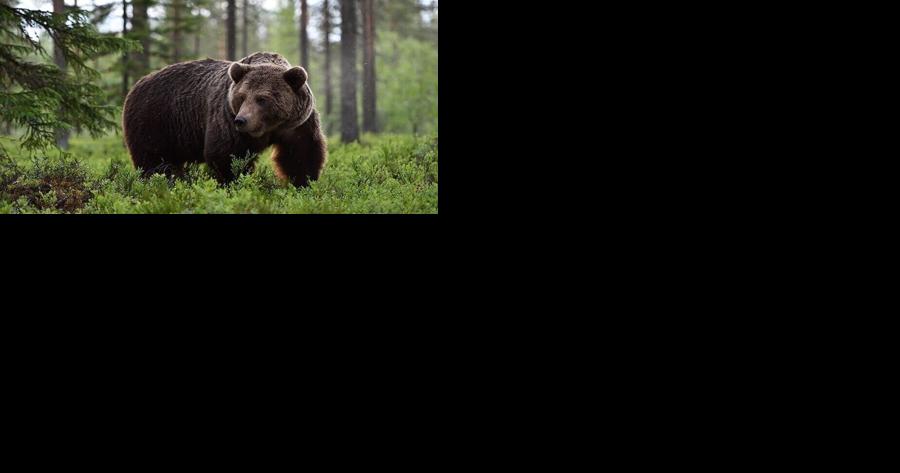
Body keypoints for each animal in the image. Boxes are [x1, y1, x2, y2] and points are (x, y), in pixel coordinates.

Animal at [122, 52, 327, 187]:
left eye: (262, 99)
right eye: (242, 97)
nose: (241, 120)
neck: (269, 127)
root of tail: (135, 86)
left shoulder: (297, 124)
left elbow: (301, 154)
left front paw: (303, 183)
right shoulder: (227, 118)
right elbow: (226, 154)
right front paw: (233, 183)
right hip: (155, 121)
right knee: (153, 160)